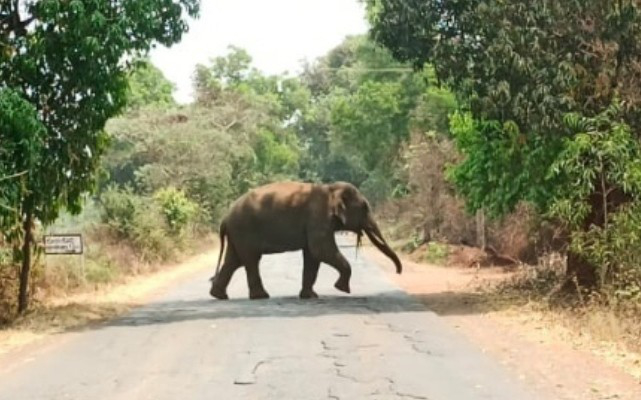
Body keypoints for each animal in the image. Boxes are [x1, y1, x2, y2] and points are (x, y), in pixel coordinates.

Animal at [209, 181, 402, 300]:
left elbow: (313, 256)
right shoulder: (318, 217)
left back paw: (219, 296)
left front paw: (310, 296)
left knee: (234, 260)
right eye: (365, 207)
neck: (331, 188)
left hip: (238, 234)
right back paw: (261, 296)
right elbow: (320, 250)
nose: (399, 272)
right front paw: (343, 289)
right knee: (250, 260)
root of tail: (225, 218)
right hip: (244, 230)